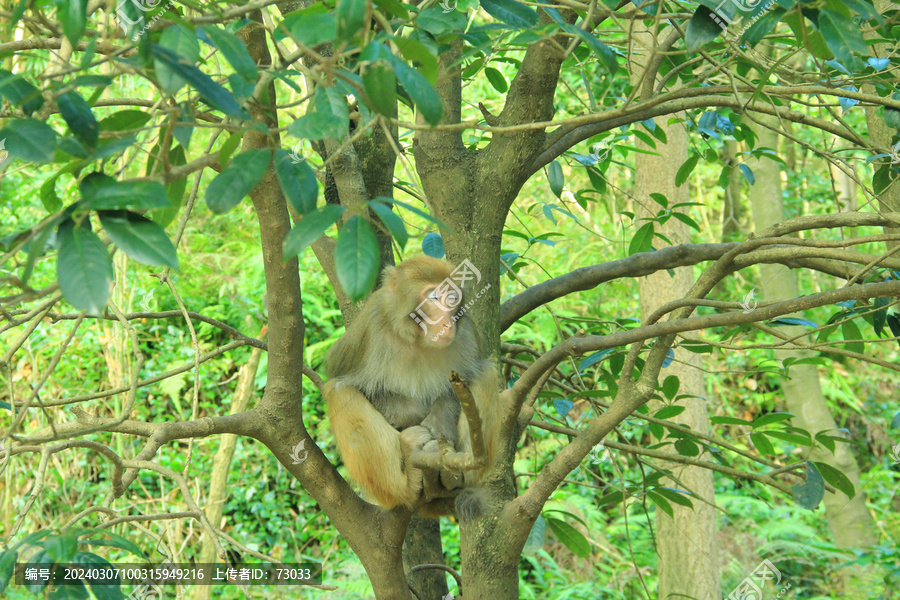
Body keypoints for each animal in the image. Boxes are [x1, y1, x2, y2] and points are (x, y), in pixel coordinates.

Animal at [326, 255, 500, 516]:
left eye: (452, 297)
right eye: (433, 297)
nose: (446, 321)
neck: (418, 340)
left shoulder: (467, 333)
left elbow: (466, 379)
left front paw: (440, 420)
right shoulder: (369, 331)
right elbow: (355, 385)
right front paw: (412, 415)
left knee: (487, 373)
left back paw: (454, 478)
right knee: (340, 393)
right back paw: (408, 479)